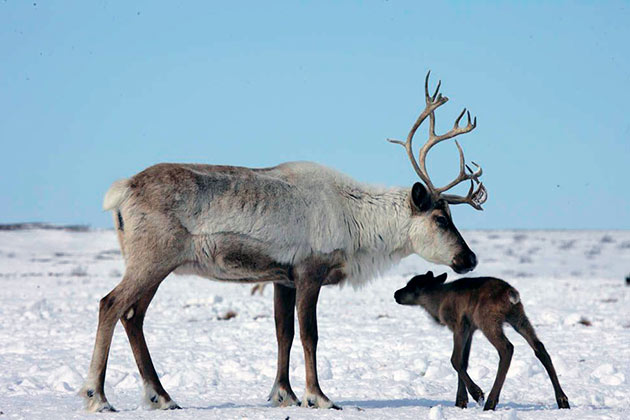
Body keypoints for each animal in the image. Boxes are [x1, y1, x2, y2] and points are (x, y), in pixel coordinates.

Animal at [396, 270, 572, 412]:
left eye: (412, 285)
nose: (396, 294)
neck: (437, 303)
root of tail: (510, 293)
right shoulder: (471, 330)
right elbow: (464, 361)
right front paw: (461, 401)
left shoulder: (459, 325)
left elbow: (455, 360)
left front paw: (476, 393)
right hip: (519, 317)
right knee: (540, 348)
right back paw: (562, 400)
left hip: (487, 319)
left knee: (507, 348)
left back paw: (490, 402)